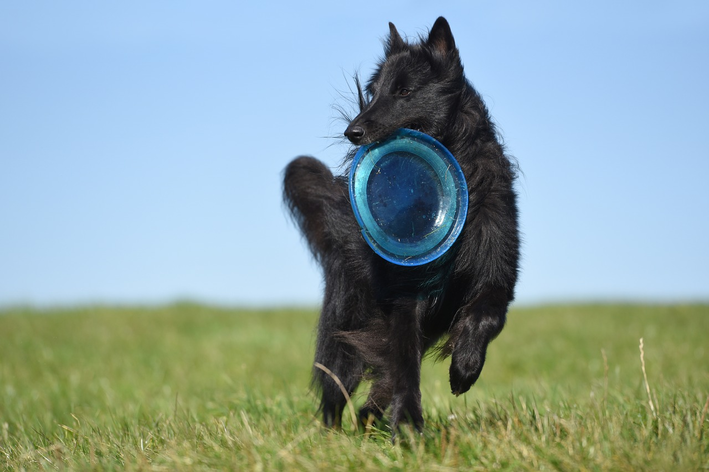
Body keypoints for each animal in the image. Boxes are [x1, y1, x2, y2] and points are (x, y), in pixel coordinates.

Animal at [282, 17, 520, 432]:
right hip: (345, 329)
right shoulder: (406, 299)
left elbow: (485, 317)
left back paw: (370, 420)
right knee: (336, 390)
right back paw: (333, 436)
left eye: (404, 91)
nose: (352, 133)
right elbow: (405, 363)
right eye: (373, 92)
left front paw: (465, 368)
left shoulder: (497, 276)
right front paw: (409, 423)